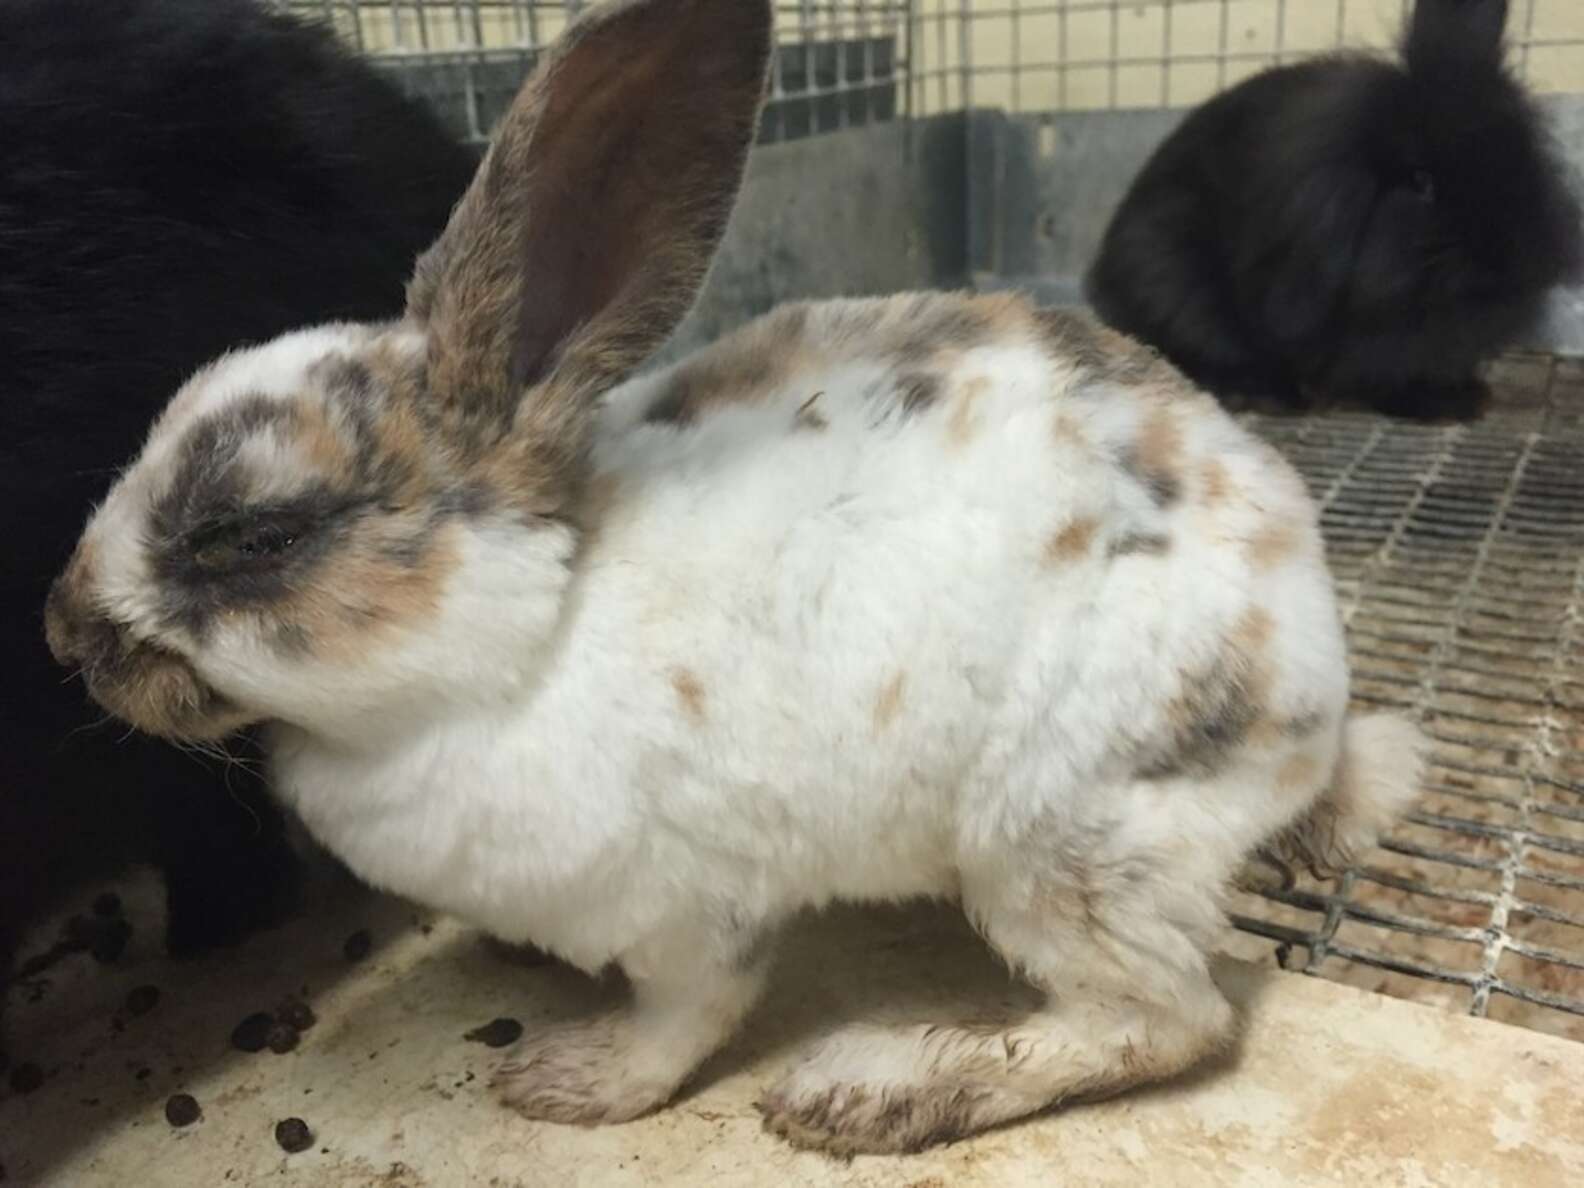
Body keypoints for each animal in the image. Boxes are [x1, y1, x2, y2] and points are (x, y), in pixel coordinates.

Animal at [1084, 0, 1584, 422]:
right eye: (1421, 180)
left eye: (1522, 152)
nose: (1512, 255)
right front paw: (1441, 404)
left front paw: (1465, 394)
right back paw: (1259, 395)